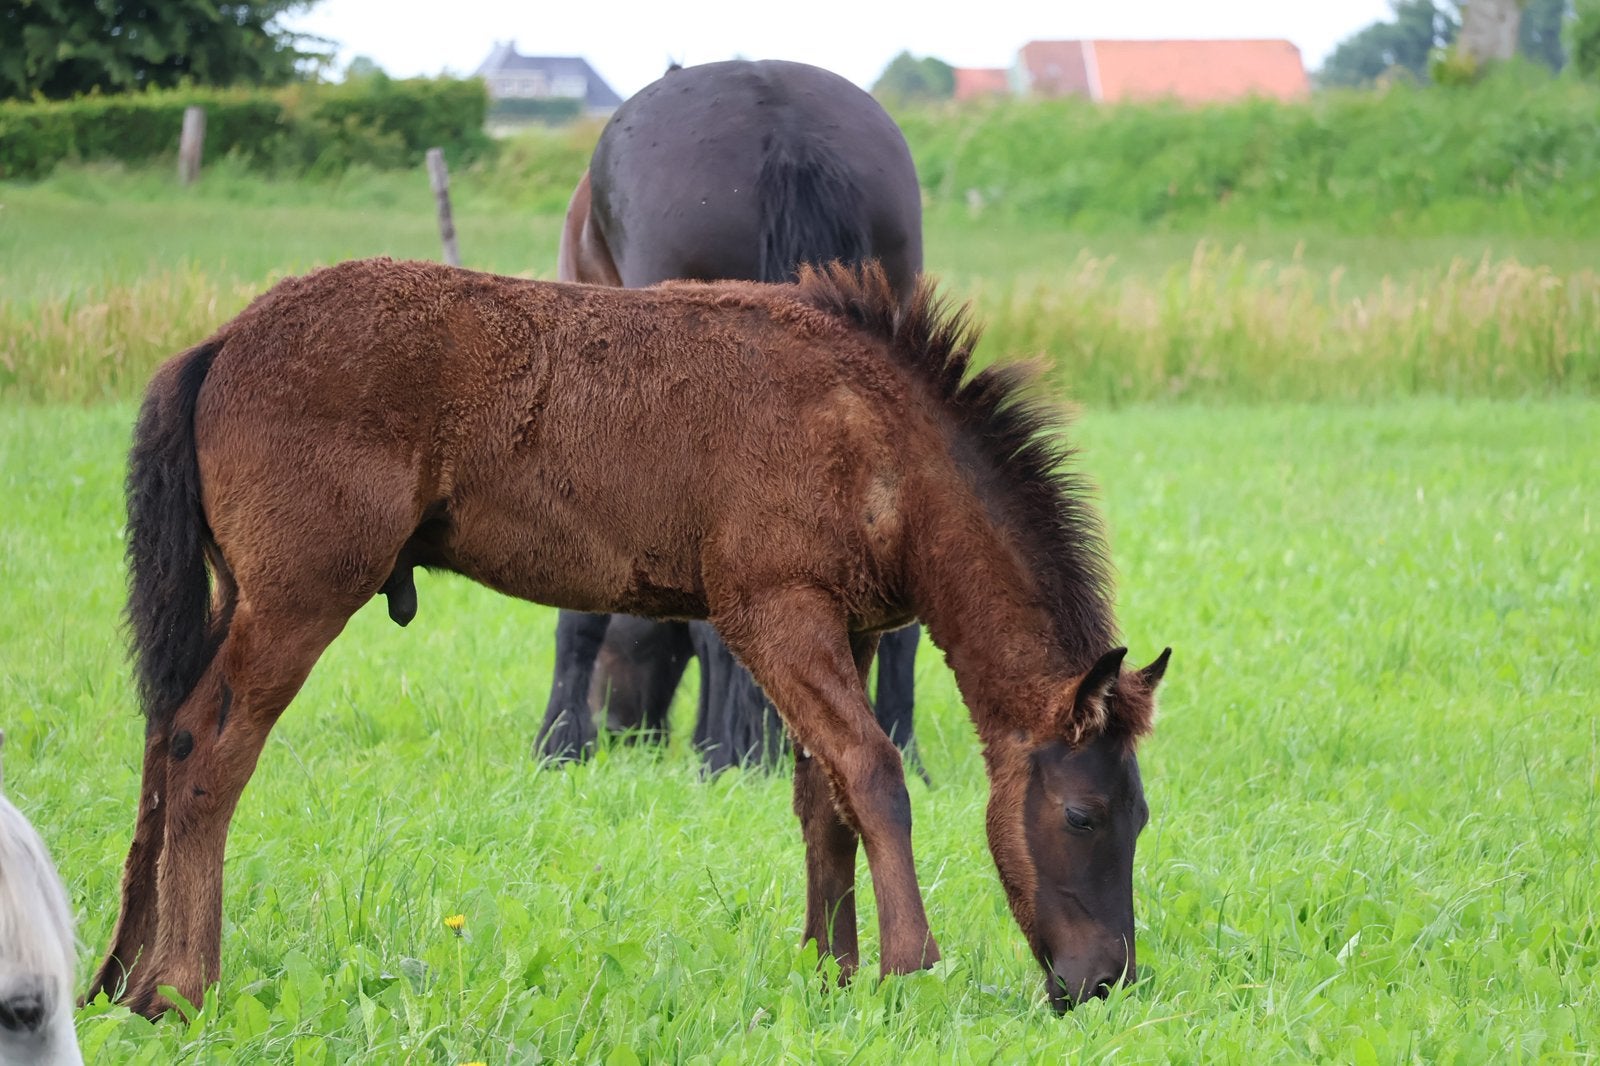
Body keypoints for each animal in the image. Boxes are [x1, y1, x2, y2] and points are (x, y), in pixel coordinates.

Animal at [86, 257, 1170, 1016]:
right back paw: (181, 986)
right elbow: (873, 773)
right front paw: (907, 967)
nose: (1101, 980)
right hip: (300, 596)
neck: (880, 446)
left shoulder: (848, 625)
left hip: (236, 594)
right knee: (209, 753)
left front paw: (830, 973)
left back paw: (121, 978)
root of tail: (218, 343)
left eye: (1141, 816)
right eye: (1083, 816)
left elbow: (823, 801)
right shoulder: (772, 610)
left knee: (163, 733)